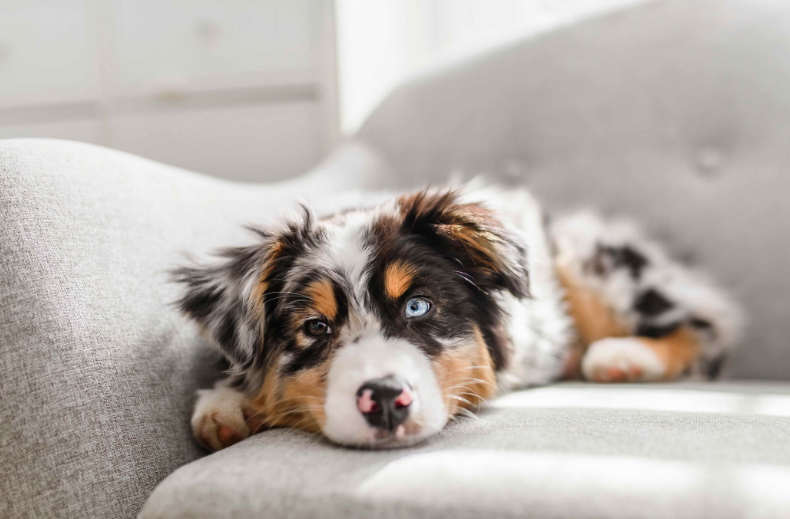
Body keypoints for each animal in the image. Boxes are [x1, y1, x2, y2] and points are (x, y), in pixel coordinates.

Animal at [173, 187, 744, 450]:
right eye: (316, 327)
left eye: (417, 306)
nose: (385, 399)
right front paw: (227, 404)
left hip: (589, 256)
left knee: (709, 328)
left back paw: (619, 356)